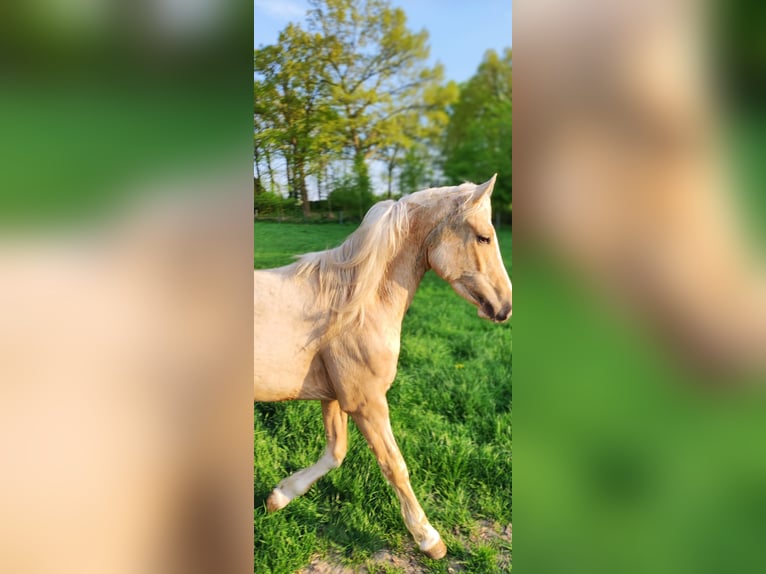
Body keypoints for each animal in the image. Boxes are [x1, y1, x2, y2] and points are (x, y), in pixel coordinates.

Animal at [255, 177, 512, 564]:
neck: (352, 307)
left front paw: (278, 497)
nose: (505, 307)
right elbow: (395, 465)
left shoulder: (336, 398)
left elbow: (335, 452)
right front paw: (430, 540)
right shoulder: (367, 403)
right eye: (483, 237)